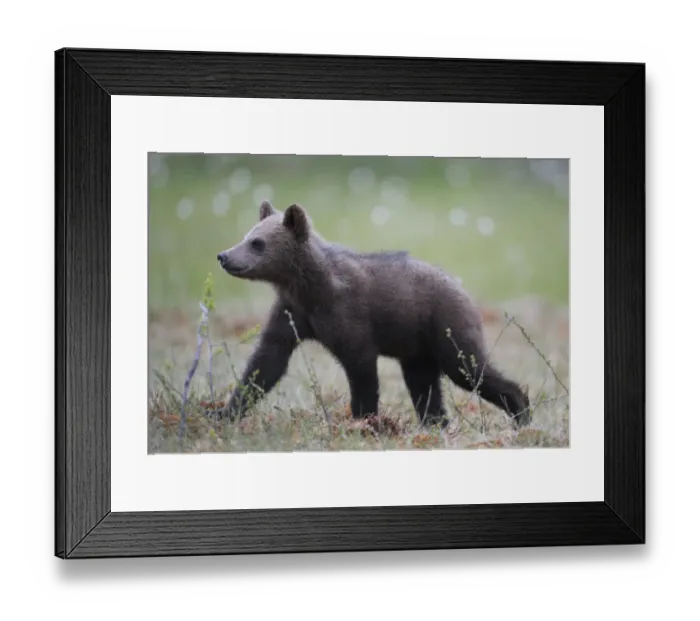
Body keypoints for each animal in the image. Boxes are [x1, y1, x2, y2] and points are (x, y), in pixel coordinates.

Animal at [211, 200, 531, 428]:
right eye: (247, 236)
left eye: (258, 243)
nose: (224, 256)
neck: (310, 288)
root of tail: (462, 288)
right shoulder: (291, 313)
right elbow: (266, 363)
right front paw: (225, 413)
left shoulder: (348, 315)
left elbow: (361, 369)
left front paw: (363, 421)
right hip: (417, 348)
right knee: (425, 385)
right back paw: (434, 424)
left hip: (445, 325)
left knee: (468, 368)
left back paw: (521, 412)